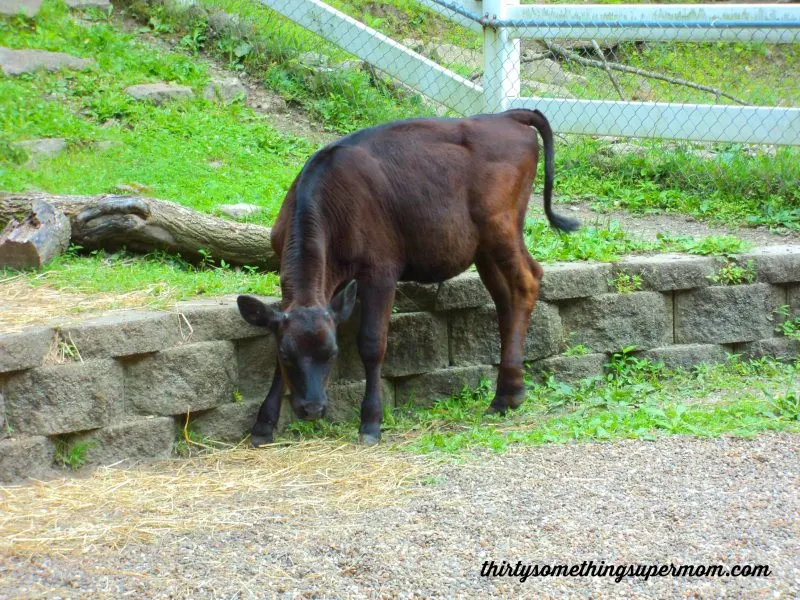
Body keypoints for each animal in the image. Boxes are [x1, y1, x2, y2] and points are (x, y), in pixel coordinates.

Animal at [234, 108, 580, 446]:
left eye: (332, 353)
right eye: (287, 355)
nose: (312, 409)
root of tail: (508, 115)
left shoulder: (381, 271)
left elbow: (372, 343)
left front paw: (371, 422)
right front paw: (263, 424)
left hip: (501, 227)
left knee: (527, 281)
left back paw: (507, 392)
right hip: (483, 247)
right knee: (504, 300)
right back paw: (507, 393)